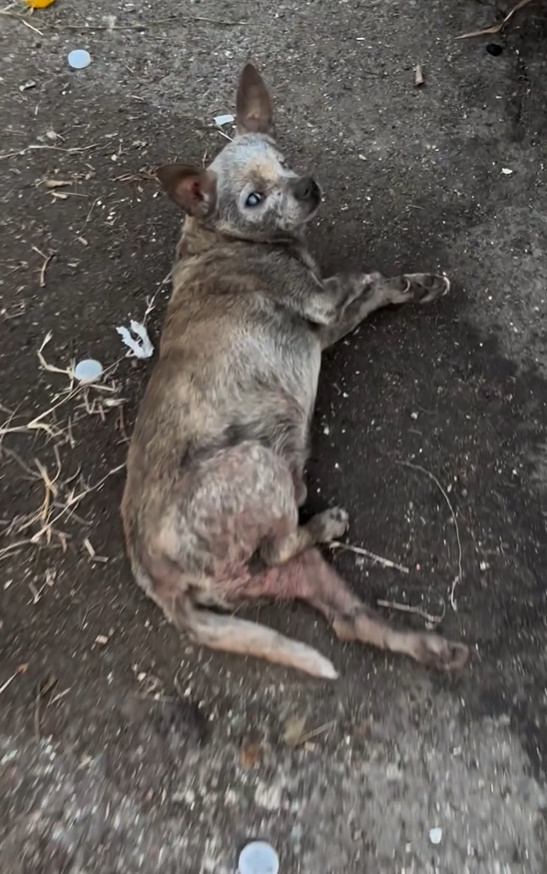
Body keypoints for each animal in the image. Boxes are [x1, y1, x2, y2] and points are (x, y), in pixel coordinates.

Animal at [121, 61, 470, 676]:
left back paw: (434, 647)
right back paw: (327, 521)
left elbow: (374, 295)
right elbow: (365, 281)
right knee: (279, 543)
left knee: (349, 618)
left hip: (288, 572)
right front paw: (397, 282)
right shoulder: (323, 304)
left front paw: (418, 285)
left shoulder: (324, 329)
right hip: (256, 467)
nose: (307, 186)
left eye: (283, 160)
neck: (219, 235)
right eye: (254, 198)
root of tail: (154, 578)